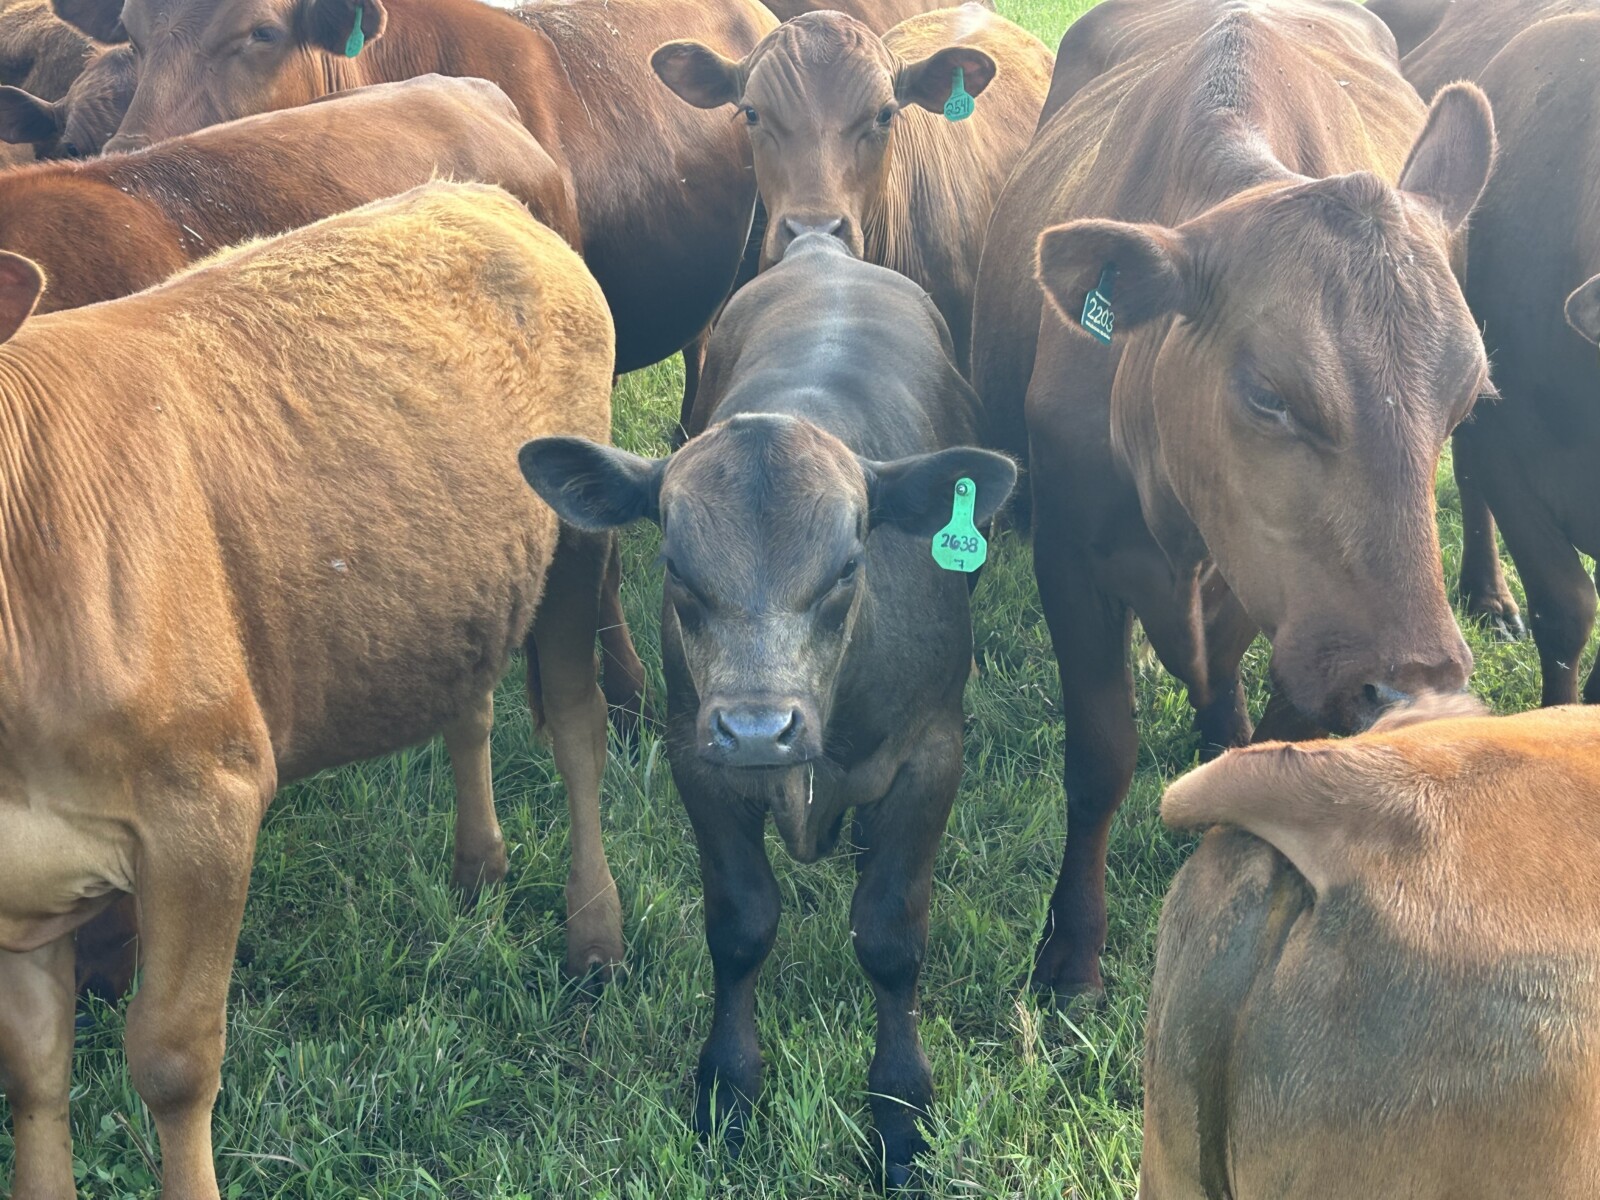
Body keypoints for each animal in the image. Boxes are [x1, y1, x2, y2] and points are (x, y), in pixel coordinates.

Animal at [0, 181, 620, 1200]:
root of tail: (470, 192)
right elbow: (33, 1074)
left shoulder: (206, 803)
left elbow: (172, 1063)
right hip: (452, 576)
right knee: (470, 703)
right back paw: (478, 866)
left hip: (577, 545)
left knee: (578, 727)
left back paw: (594, 934)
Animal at [520, 234, 1016, 1191]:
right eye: (676, 564)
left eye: (850, 563)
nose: (757, 729)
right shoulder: (696, 756)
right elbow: (741, 924)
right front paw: (727, 1089)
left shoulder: (933, 752)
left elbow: (891, 933)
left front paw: (901, 1112)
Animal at [970, 0, 1494, 1004]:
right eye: (1267, 394)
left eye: (1470, 399)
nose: (1416, 686)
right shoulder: (1069, 554)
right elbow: (1099, 757)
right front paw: (1071, 955)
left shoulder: (1306, 620)